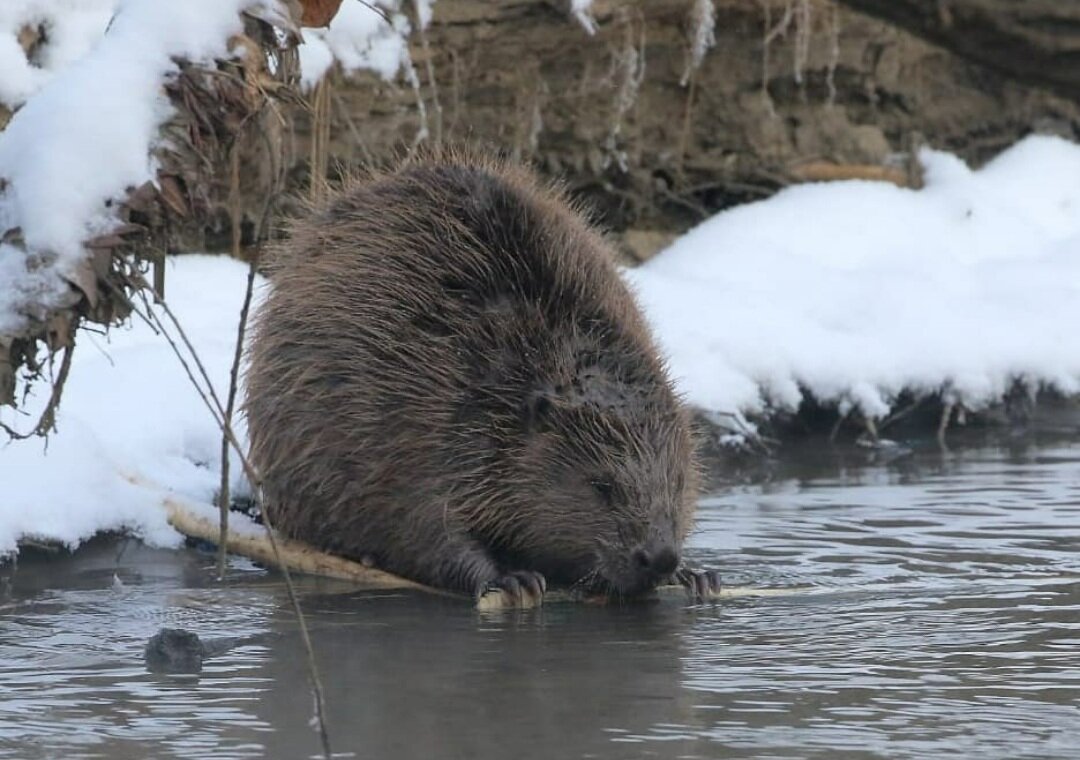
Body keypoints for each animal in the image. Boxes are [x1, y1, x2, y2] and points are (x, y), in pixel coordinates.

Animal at [245, 154, 717, 604]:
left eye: (677, 482)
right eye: (602, 485)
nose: (659, 556)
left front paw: (697, 575)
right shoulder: (415, 429)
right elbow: (424, 524)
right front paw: (513, 581)